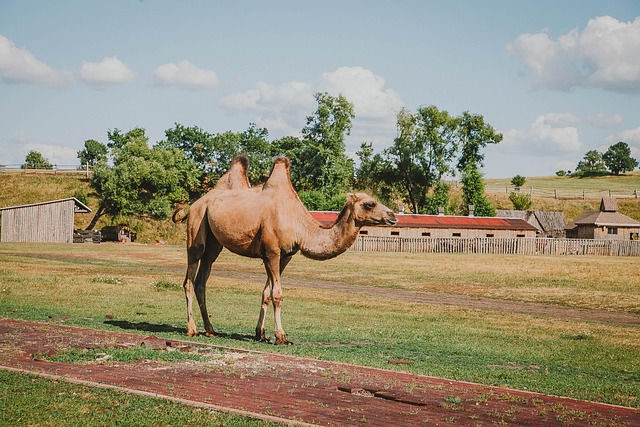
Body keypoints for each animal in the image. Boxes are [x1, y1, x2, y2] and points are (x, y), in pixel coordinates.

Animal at [176, 156, 397, 344]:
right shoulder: (272, 251)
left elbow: (266, 292)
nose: (393, 216)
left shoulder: (285, 255)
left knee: (202, 280)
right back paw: (192, 329)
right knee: (189, 278)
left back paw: (210, 329)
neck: (298, 224)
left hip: (214, 243)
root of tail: (193, 205)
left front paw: (261, 334)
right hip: (196, 228)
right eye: (370, 204)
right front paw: (281, 336)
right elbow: (277, 294)